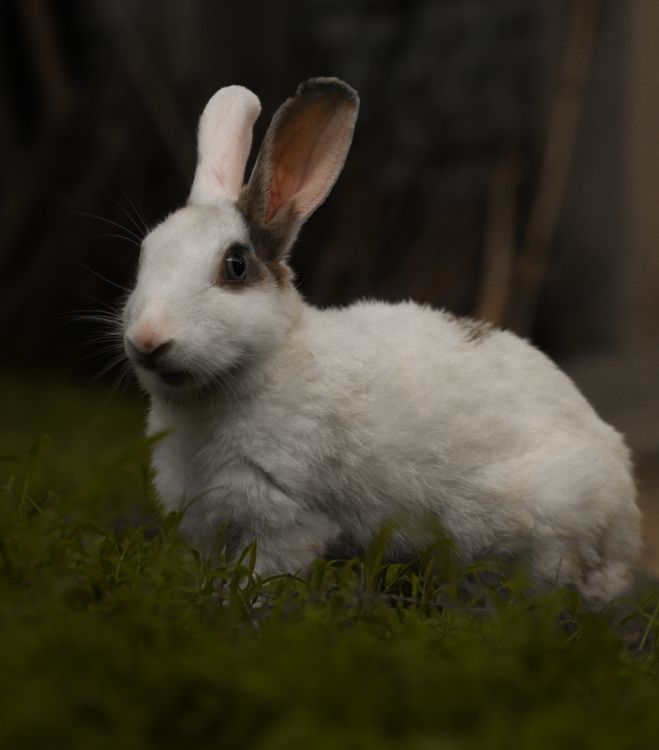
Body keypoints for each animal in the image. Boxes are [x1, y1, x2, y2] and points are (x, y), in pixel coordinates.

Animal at [122, 77, 641, 605]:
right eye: (144, 254)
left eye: (235, 266)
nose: (147, 340)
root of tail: (626, 514)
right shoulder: (205, 520)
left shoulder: (287, 516)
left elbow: (265, 570)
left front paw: (241, 602)